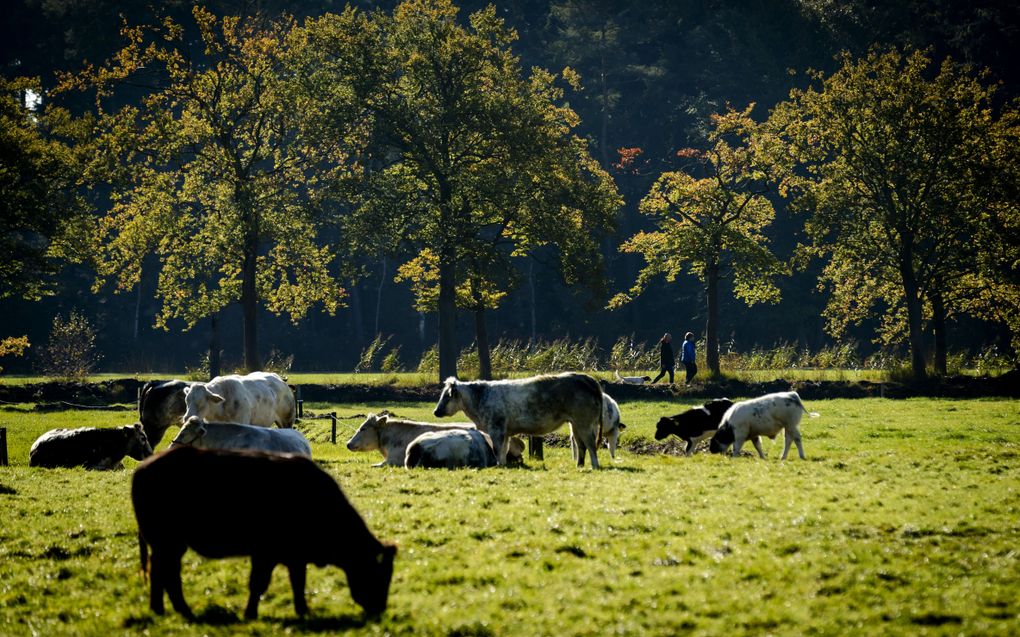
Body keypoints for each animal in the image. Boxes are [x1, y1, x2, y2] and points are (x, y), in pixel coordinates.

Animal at [137, 444, 399, 619]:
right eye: (379, 573)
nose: (380, 609)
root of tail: (143, 468)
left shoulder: (295, 557)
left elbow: (298, 582)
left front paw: (303, 611)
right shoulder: (265, 554)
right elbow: (259, 584)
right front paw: (250, 614)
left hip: (169, 545)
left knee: (162, 572)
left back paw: (163, 609)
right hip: (167, 543)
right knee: (165, 573)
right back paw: (178, 610)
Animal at [432, 373, 603, 466]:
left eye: (447, 396)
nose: (436, 411)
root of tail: (586, 378)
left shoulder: (496, 428)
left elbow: (497, 449)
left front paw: (499, 465)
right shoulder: (505, 433)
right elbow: (503, 450)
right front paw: (503, 465)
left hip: (585, 422)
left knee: (590, 444)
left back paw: (595, 466)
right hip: (575, 424)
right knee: (581, 446)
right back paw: (579, 466)